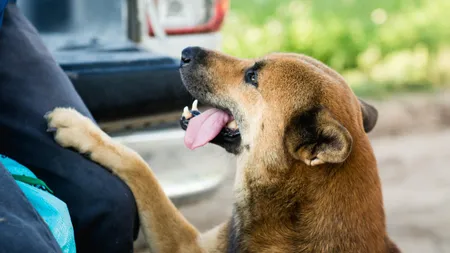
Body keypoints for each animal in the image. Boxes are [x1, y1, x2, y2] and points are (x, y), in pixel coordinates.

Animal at [44, 47, 400, 253]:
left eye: (252, 76)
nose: (185, 51)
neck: (294, 208)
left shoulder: (183, 245)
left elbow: (140, 167)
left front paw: (79, 127)